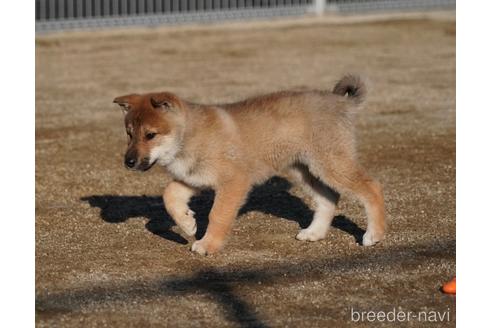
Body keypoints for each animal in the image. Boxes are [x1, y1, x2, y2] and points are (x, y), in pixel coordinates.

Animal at [114, 75, 384, 255]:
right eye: (129, 134)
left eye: (150, 135)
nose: (128, 162)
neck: (189, 136)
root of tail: (341, 102)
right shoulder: (193, 178)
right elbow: (169, 196)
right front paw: (187, 223)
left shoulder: (233, 181)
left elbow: (217, 215)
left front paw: (208, 244)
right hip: (305, 170)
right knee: (329, 197)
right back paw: (314, 233)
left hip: (331, 164)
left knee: (372, 188)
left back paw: (374, 234)